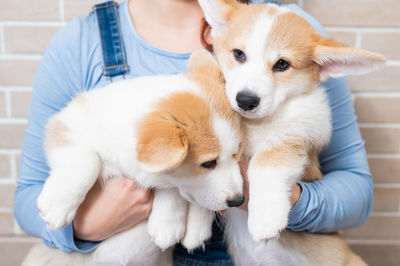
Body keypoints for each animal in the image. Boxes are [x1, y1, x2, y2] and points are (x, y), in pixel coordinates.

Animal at [23, 51, 245, 264]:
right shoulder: (65, 124)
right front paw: (57, 206)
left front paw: (169, 224)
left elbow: (173, 188)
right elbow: (88, 160)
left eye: (237, 154)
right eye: (208, 163)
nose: (238, 200)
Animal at [199, 0, 384, 264]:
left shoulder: (292, 140)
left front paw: (265, 219)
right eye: (238, 54)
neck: (255, 124)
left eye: (282, 64)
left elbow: (263, 164)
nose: (246, 100)